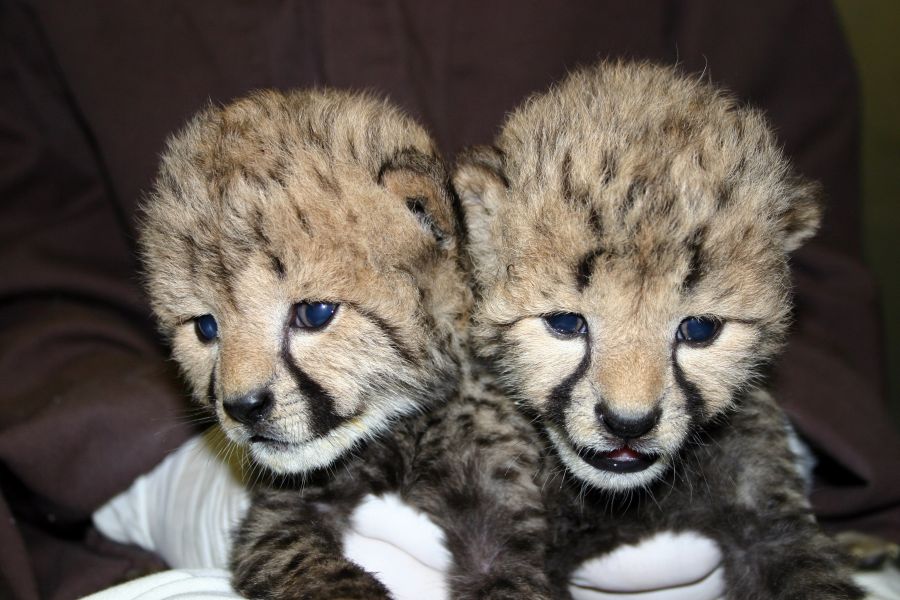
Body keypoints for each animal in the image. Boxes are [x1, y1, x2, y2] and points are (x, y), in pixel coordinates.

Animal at [139, 89, 551, 599]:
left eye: (315, 314)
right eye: (206, 328)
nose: (243, 407)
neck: (405, 425)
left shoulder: (499, 507)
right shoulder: (281, 511)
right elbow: (304, 563)